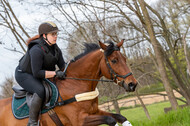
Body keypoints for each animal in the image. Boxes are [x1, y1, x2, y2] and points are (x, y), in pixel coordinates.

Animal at [0, 39, 137, 125]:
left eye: (124, 58)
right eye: (114, 60)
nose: (132, 84)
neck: (75, 84)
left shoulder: (94, 112)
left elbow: (120, 117)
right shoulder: (79, 120)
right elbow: (110, 120)